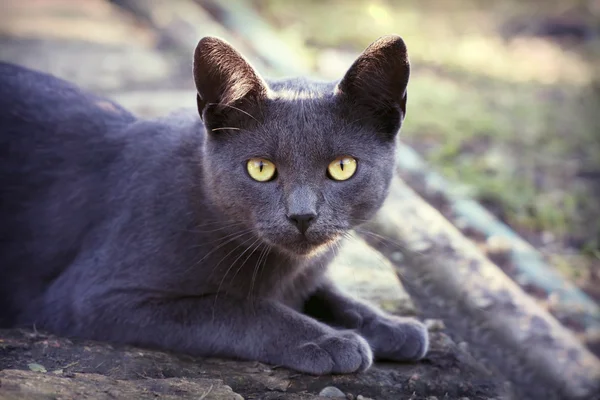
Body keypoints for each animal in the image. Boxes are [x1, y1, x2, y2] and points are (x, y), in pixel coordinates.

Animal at [1, 34, 432, 376]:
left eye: (342, 167)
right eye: (260, 168)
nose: (302, 215)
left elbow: (325, 292)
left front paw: (393, 326)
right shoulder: (96, 296)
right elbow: (239, 308)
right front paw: (331, 342)